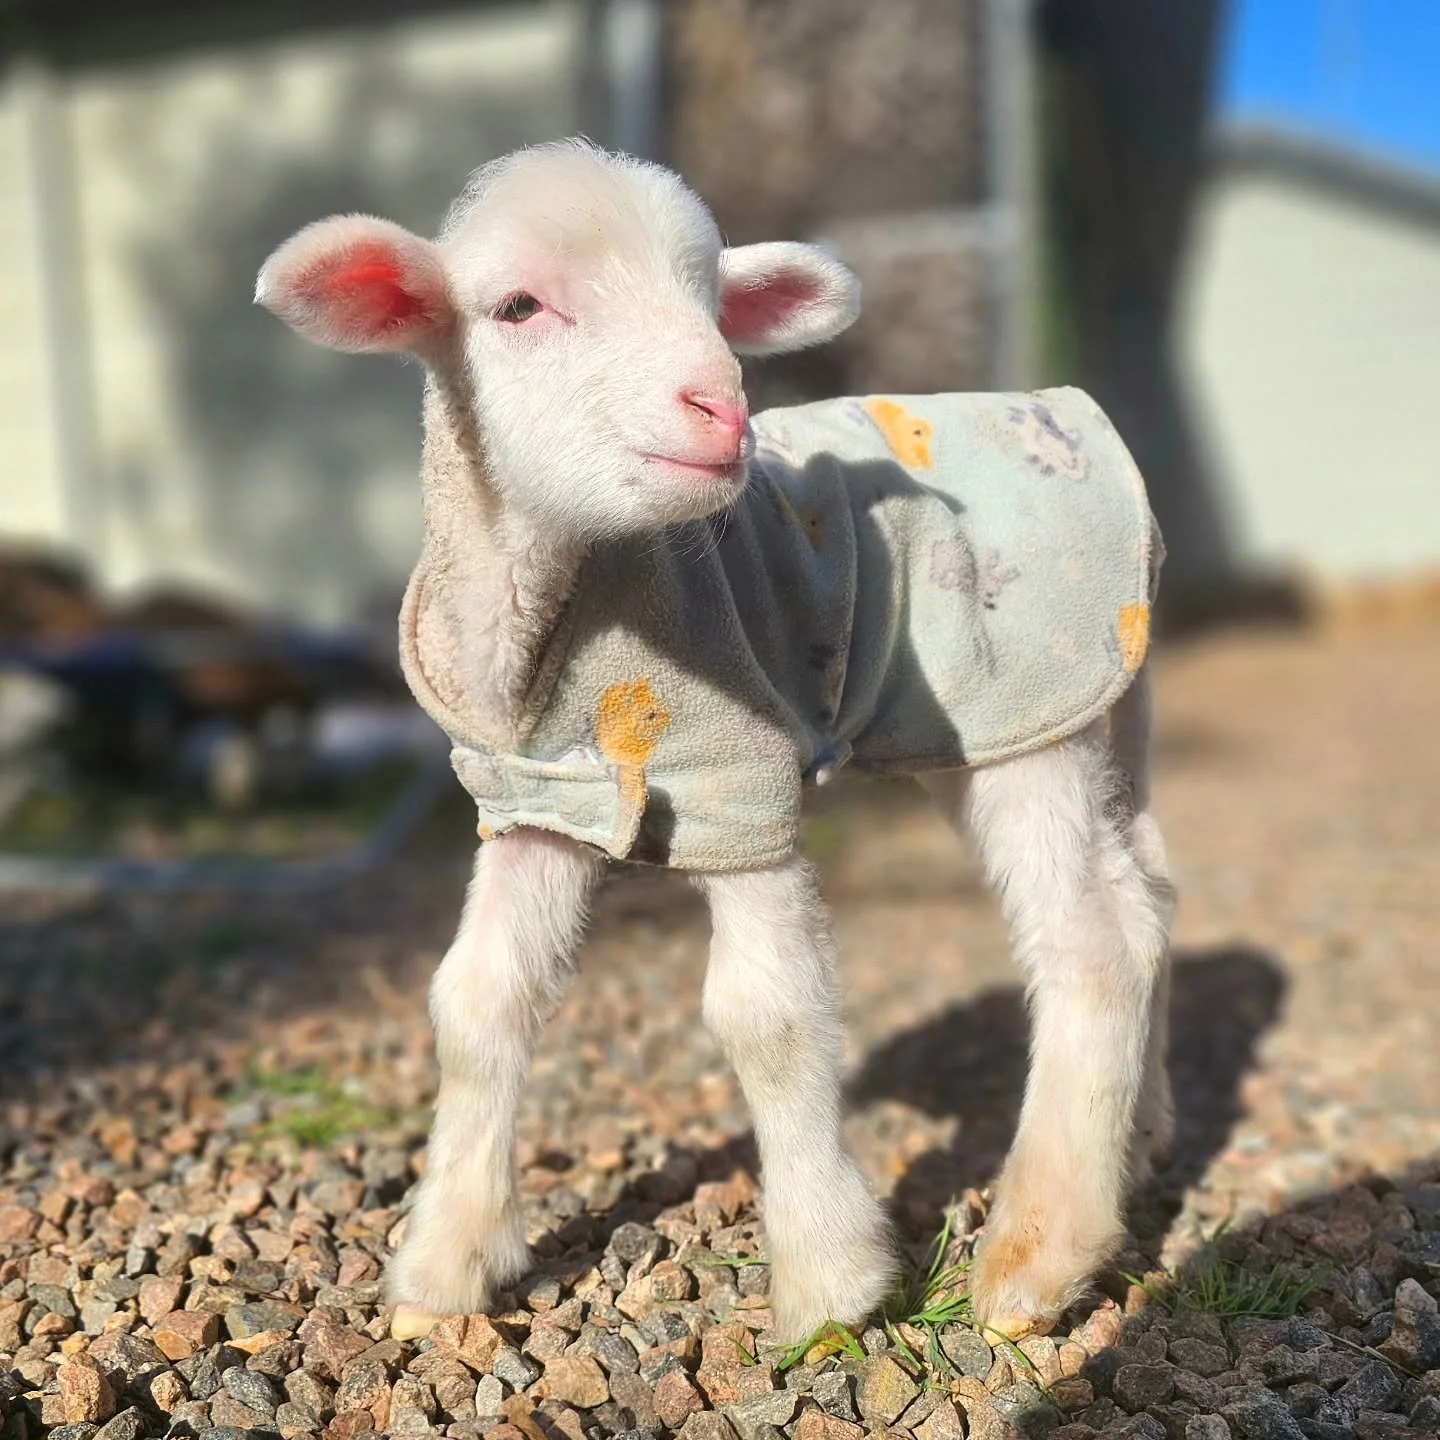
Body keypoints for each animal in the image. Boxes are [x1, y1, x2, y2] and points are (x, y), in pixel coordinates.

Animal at [256, 139, 1174, 1343]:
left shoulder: (743, 779)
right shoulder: (532, 794)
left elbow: (766, 1017)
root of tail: (1065, 409)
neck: (560, 616)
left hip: (1028, 699)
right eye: (517, 307)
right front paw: (445, 1264)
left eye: (710, 302)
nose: (723, 408)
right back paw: (1140, 1149)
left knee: (1094, 941)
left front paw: (829, 1284)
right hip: (1098, 706)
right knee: (1149, 899)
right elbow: (475, 1002)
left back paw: (1039, 1252)